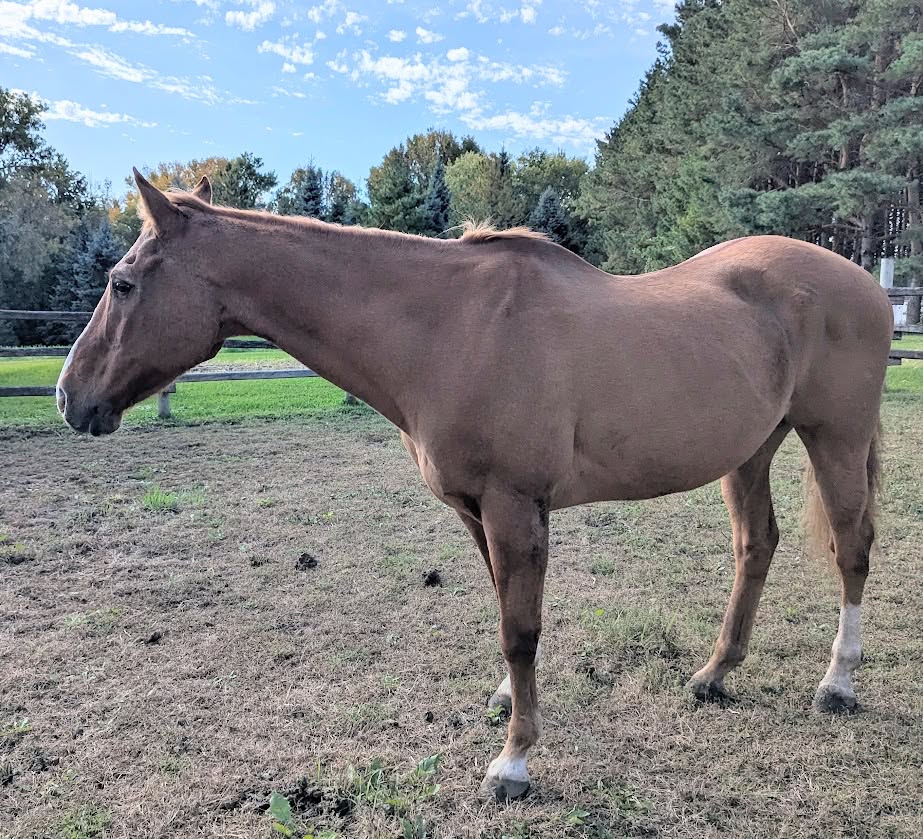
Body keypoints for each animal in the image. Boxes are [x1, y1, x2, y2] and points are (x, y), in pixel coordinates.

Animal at [56, 170, 893, 801]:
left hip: (834, 437)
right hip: (750, 449)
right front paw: (504, 702)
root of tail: (866, 282)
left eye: (122, 283)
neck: (449, 327)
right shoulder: (475, 511)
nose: (69, 397)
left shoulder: (513, 505)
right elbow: (503, 610)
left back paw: (836, 683)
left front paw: (513, 760)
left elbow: (519, 629)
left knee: (851, 546)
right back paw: (715, 673)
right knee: (756, 545)